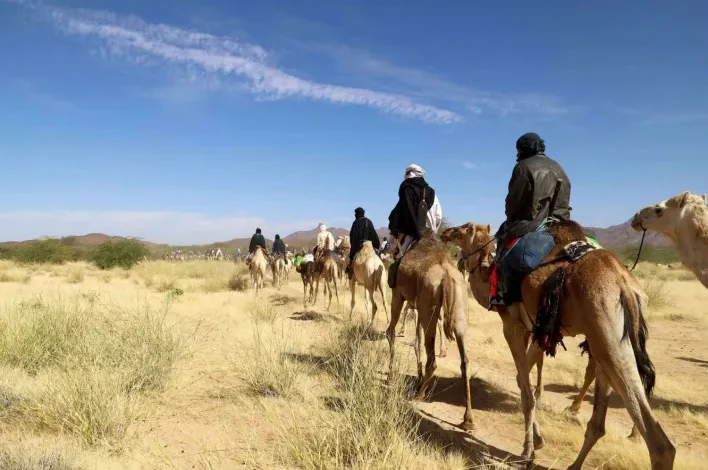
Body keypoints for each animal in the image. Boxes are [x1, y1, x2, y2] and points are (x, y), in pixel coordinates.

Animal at [384, 235, 472, 434]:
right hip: (459, 309)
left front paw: (391, 370)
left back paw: (420, 394)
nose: (385, 249)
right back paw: (468, 420)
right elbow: (416, 340)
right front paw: (416, 377)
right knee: (464, 362)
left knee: (431, 359)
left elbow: (391, 332)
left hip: (428, 306)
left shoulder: (398, 294)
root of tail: (447, 276)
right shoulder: (417, 306)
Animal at [442, 223, 676, 470]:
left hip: (607, 331)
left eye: (461, 230)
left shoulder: (512, 326)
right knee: (599, 420)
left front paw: (528, 451)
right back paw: (575, 462)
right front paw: (537, 441)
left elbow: (526, 391)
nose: (445, 232)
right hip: (607, 337)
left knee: (660, 444)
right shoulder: (536, 330)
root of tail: (625, 284)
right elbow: (522, 381)